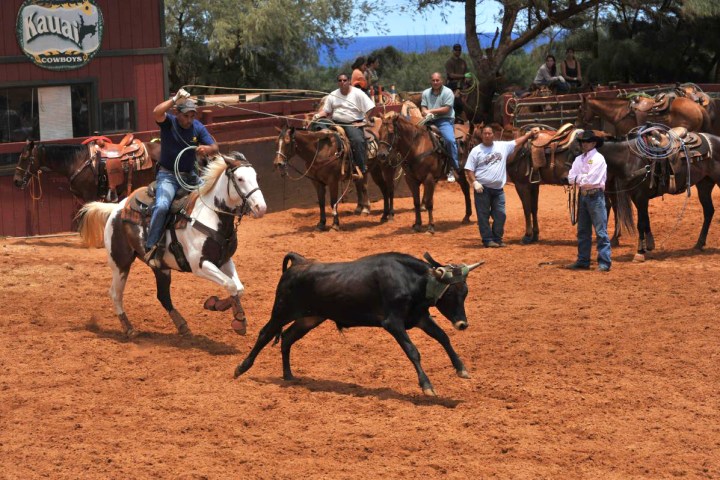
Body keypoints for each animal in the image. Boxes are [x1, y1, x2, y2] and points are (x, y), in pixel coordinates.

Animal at [76, 154, 267, 338]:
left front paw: (219, 307)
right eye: (240, 179)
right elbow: (230, 284)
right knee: (116, 294)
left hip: (161, 267)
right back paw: (129, 328)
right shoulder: (200, 265)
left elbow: (238, 288)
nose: (261, 208)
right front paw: (237, 320)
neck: (210, 215)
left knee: (163, 296)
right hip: (120, 263)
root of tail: (116, 208)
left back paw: (182, 326)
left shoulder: (224, 260)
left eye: (256, 176)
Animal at [602, 132, 720, 260]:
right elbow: (645, 220)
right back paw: (699, 244)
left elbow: (640, 223)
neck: (630, 158)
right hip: (704, 184)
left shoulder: (640, 196)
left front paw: (640, 252)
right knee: (709, 211)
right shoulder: (636, 197)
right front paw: (649, 246)